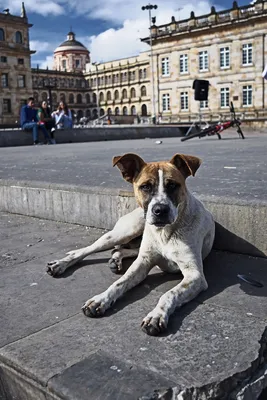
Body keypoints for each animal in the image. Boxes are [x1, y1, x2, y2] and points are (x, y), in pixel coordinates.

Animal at [47, 152, 216, 334]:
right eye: (145, 187)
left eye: (172, 185)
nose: (160, 210)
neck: (164, 232)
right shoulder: (143, 263)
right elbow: (120, 282)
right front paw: (100, 299)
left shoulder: (195, 275)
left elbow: (169, 293)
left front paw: (156, 315)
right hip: (124, 232)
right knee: (84, 250)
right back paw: (60, 264)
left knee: (120, 250)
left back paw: (115, 260)